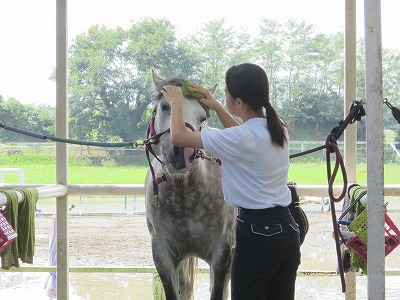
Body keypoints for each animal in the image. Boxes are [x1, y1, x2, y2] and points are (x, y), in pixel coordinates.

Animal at [145, 73, 236, 300]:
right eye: (165, 107)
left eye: (202, 118)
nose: (182, 154)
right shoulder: (163, 255)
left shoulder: (221, 253)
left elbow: (217, 291)